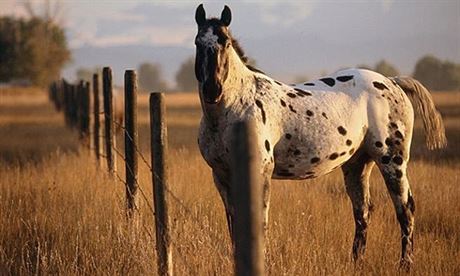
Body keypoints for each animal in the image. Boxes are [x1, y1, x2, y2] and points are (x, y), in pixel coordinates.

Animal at [193, 3, 446, 268]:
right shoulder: (221, 176)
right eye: (198, 42)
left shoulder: (260, 172)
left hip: (392, 161)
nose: (212, 90)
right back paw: (356, 261)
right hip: (357, 164)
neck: (237, 106)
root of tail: (393, 82)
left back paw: (405, 264)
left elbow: (259, 220)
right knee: (363, 211)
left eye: (225, 42)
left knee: (405, 209)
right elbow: (233, 222)